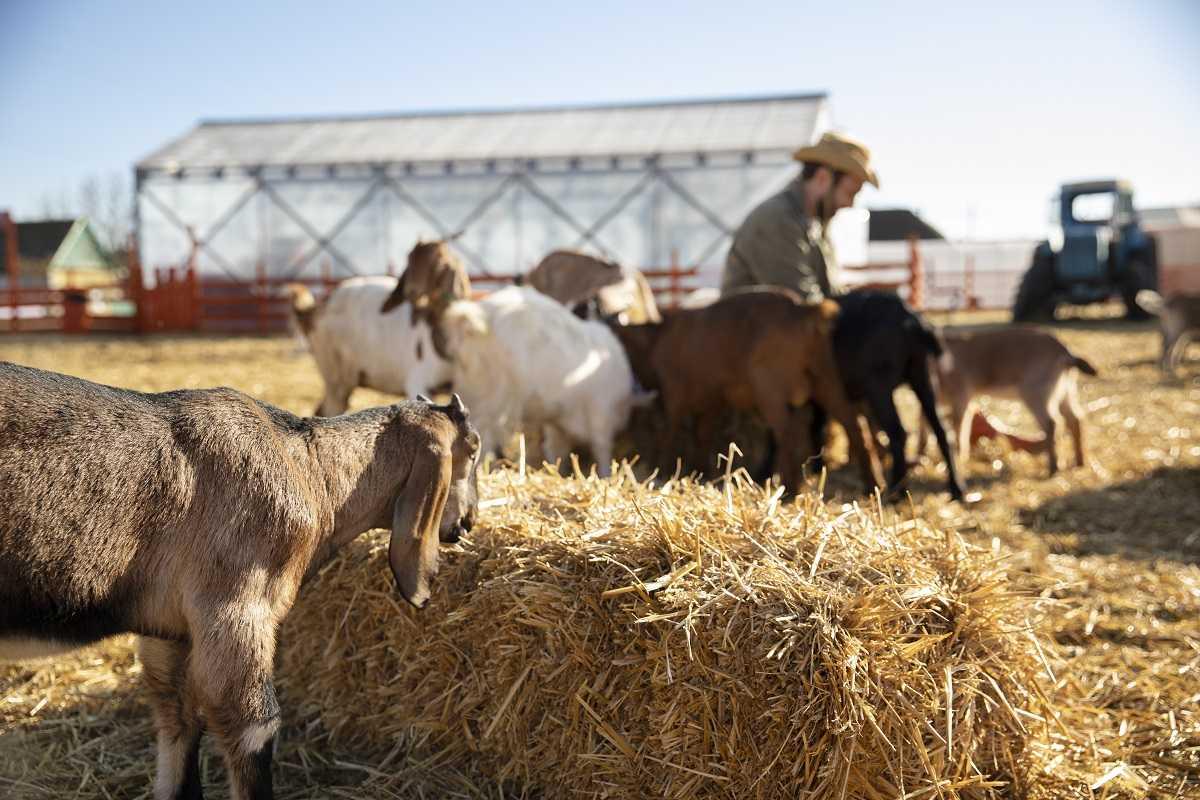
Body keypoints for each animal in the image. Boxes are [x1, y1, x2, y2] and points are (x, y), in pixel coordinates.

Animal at [1, 362, 477, 800]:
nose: (469, 521)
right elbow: (254, 728)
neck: (310, 469)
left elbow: (178, 717)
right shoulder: (235, 606)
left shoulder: (170, 630)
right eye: (472, 453)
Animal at [436, 286, 652, 474]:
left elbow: (557, 450)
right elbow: (602, 449)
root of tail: (475, 316)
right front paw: (605, 474)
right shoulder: (601, 413)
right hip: (497, 396)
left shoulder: (558, 424)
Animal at [609, 287, 883, 494]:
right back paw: (872, 484)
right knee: (855, 427)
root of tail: (802, 310)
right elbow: (703, 433)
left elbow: (670, 431)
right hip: (827, 379)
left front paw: (665, 471)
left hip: (769, 388)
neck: (659, 338)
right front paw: (702, 473)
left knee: (788, 432)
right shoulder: (714, 402)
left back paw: (789, 489)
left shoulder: (674, 394)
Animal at [816, 287, 964, 501]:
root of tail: (912, 321)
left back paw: (897, 490)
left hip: (880, 384)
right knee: (941, 430)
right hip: (923, 375)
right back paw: (956, 488)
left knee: (898, 431)